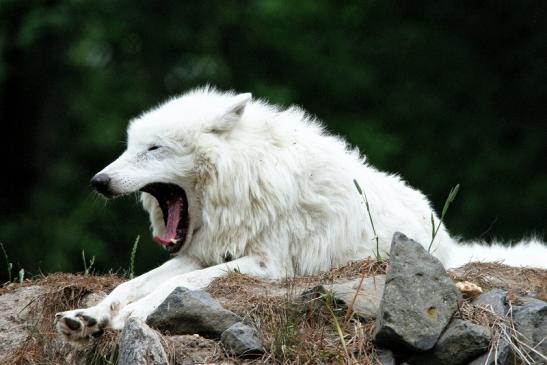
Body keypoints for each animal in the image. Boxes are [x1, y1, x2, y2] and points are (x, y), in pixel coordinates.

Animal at [55, 86, 547, 342]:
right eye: (130, 147)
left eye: (154, 149)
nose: (98, 181)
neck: (246, 176)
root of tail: (449, 245)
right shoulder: (200, 254)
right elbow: (131, 284)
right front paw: (91, 315)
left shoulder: (266, 264)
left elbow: (172, 287)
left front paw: (126, 317)